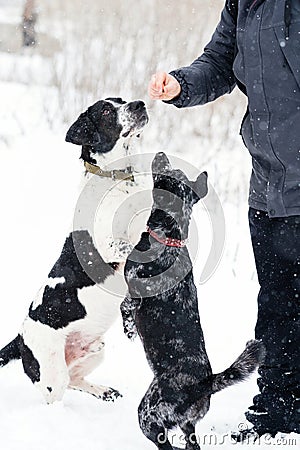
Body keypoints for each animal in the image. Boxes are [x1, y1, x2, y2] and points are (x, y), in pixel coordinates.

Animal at [0, 97, 149, 404]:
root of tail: (20, 339)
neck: (118, 178)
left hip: (95, 351)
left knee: (76, 379)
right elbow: (129, 246)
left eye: (122, 99)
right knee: (58, 392)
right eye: (106, 110)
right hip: (51, 374)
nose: (139, 103)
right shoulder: (105, 247)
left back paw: (105, 391)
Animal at [119, 152, 264, 450]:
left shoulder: (133, 294)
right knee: (191, 443)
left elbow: (124, 309)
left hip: (148, 413)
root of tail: (206, 383)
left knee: (164, 442)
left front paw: (128, 332)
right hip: (187, 423)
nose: (161, 154)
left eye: (168, 172)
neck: (169, 238)